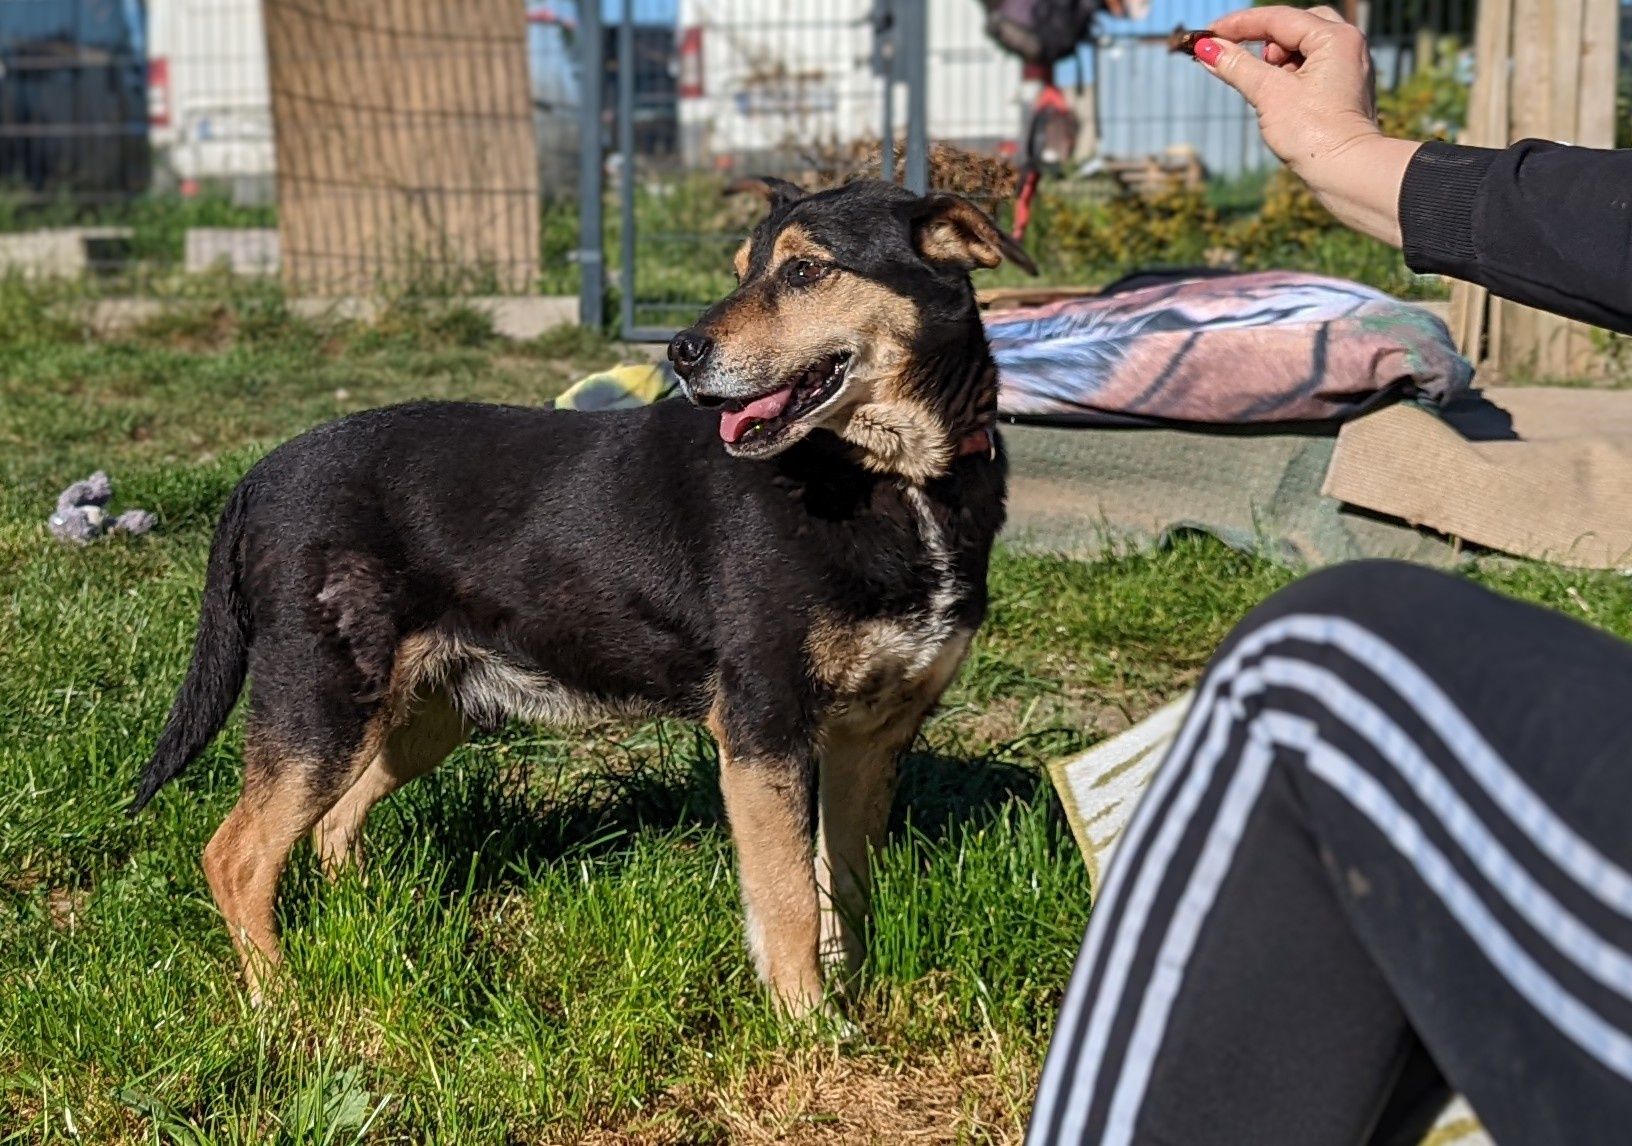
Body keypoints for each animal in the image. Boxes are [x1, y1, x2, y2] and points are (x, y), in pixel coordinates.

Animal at [133, 177, 1037, 1012]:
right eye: (740, 270)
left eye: (807, 270)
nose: (682, 352)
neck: (893, 478)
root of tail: (258, 475)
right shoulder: (763, 727)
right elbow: (786, 899)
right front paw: (810, 1025)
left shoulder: (873, 734)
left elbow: (843, 884)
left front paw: (852, 989)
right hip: (323, 704)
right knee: (238, 853)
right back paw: (279, 998)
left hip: (424, 714)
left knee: (330, 827)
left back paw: (379, 928)